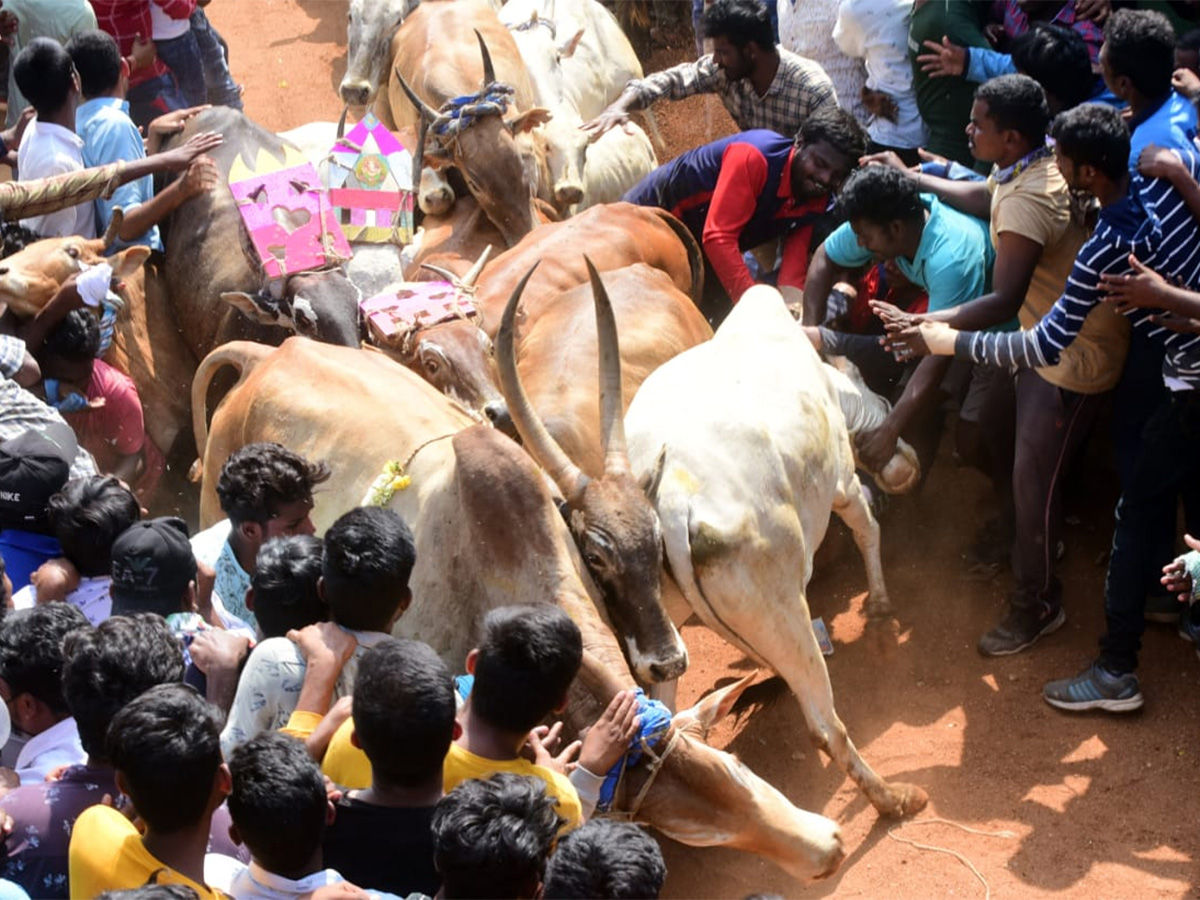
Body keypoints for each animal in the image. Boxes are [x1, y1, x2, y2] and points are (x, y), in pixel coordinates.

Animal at [624, 285, 921, 820]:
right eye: (886, 396)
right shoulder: (843, 482)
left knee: (665, 715)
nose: (908, 464)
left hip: (663, 631)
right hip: (780, 613)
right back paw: (893, 799)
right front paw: (881, 606)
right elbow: (868, 530)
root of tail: (674, 495)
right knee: (825, 726)